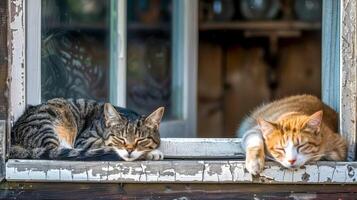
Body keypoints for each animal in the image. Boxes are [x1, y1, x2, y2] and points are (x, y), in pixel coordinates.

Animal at [10, 97, 164, 162]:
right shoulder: (85, 140)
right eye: (120, 138)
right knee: (56, 151)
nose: (130, 150)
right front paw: (152, 153)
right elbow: (108, 146)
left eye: (141, 139)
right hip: (46, 124)